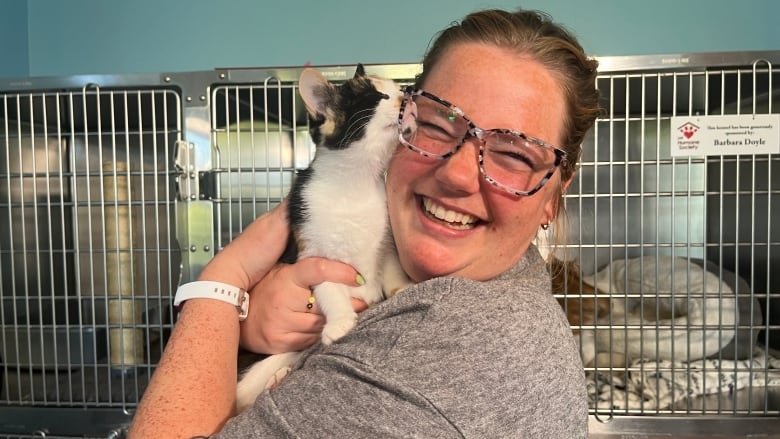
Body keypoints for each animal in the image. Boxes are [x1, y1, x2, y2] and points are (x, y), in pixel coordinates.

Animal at [235, 64, 412, 412]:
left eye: (398, 89)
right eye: (377, 97)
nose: (407, 95)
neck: (353, 185)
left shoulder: (385, 240)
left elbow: (390, 266)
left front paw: (401, 288)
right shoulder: (310, 250)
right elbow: (329, 287)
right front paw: (341, 319)